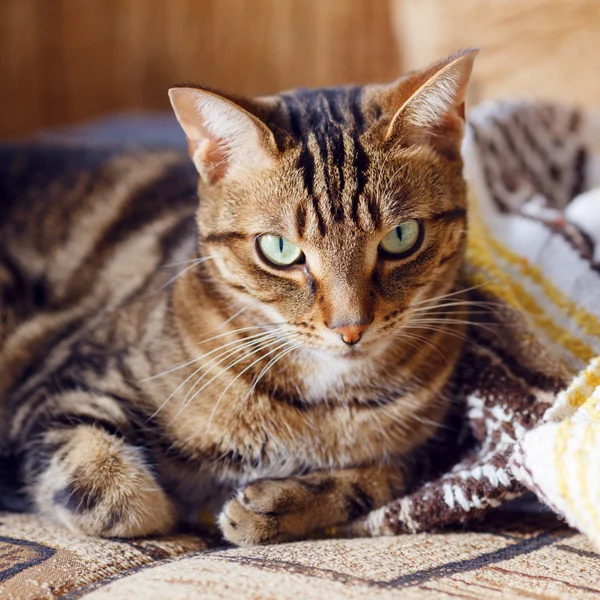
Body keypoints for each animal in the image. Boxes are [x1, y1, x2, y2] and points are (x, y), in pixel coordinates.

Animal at [0, 49, 478, 548]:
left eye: (402, 237)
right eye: (279, 248)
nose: (351, 328)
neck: (324, 403)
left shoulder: (431, 448)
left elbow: (375, 480)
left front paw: (275, 505)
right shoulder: (60, 382)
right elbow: (114, 492)